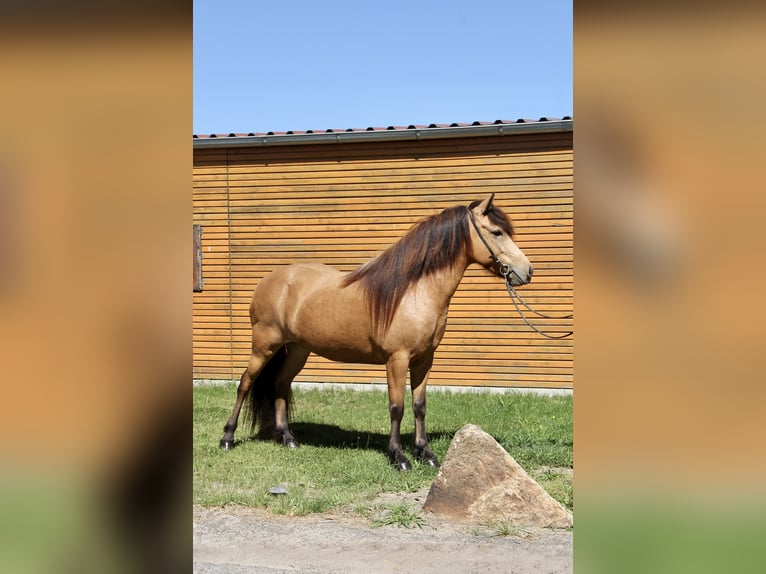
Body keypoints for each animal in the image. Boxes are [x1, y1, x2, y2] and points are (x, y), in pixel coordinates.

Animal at [219, 195, 536, 472]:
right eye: (497, 232)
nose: (527, 271)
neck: (413, 292)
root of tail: (270, 281)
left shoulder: (424, 360)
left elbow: (419, 405)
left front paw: (425, 453)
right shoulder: (397, 359)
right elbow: (397, 406)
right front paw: (399, 457)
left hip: (298, 349)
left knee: (281, 384)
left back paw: (287, 438)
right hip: (264, 346)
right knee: (245, 384)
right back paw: (227, 438)